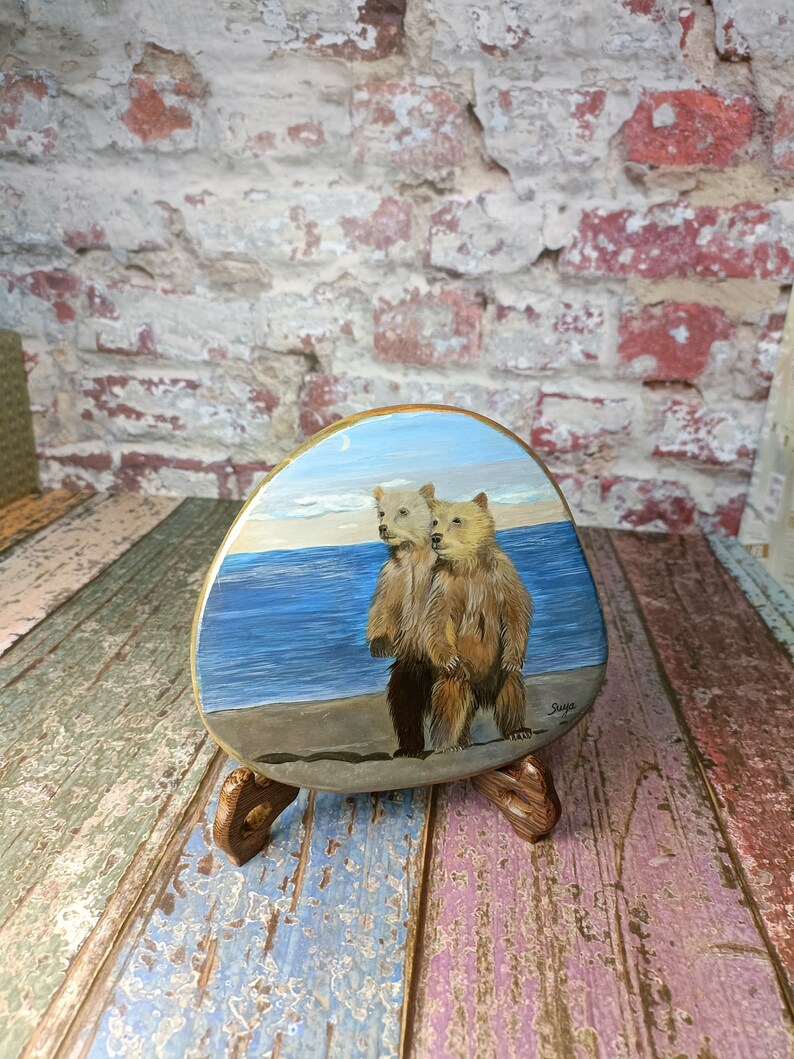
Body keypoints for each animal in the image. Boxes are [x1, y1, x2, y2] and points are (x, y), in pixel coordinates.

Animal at [366, 483, 437, 758]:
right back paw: (408, 748)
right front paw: (379, 644)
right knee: (403, 700)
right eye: (381, 513)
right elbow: (382, 608)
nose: (383, 528)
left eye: (403, 511)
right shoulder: (393, 576)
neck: (413, 550)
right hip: (408, 668)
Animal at [422, 491, 533, 751]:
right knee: (450, 705)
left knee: (511, 695)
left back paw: (518, 730)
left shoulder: (501, 576)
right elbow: (436, 619)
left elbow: (516, 610)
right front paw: (448, 658)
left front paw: (513, 658)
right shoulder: (445, 585)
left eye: (456, 520)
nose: (435, 537)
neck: (468, 565)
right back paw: (450, 744)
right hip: (458, 680)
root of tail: (482, 694)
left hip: (500, 676)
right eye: (435, 521)